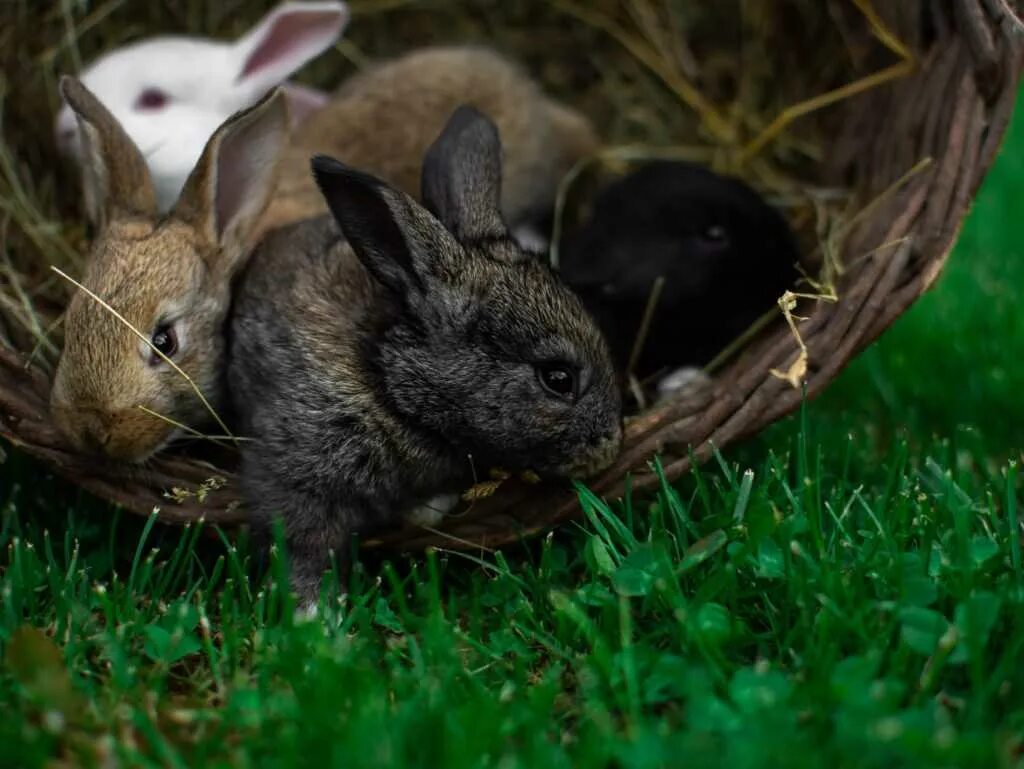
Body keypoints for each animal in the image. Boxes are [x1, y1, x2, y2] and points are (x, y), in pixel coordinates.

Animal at [227, 105, 618, 606]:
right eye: (558, 378)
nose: (610, 445)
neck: (391, 384)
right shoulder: (294, 474)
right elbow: (302, 545)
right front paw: (314, 613)